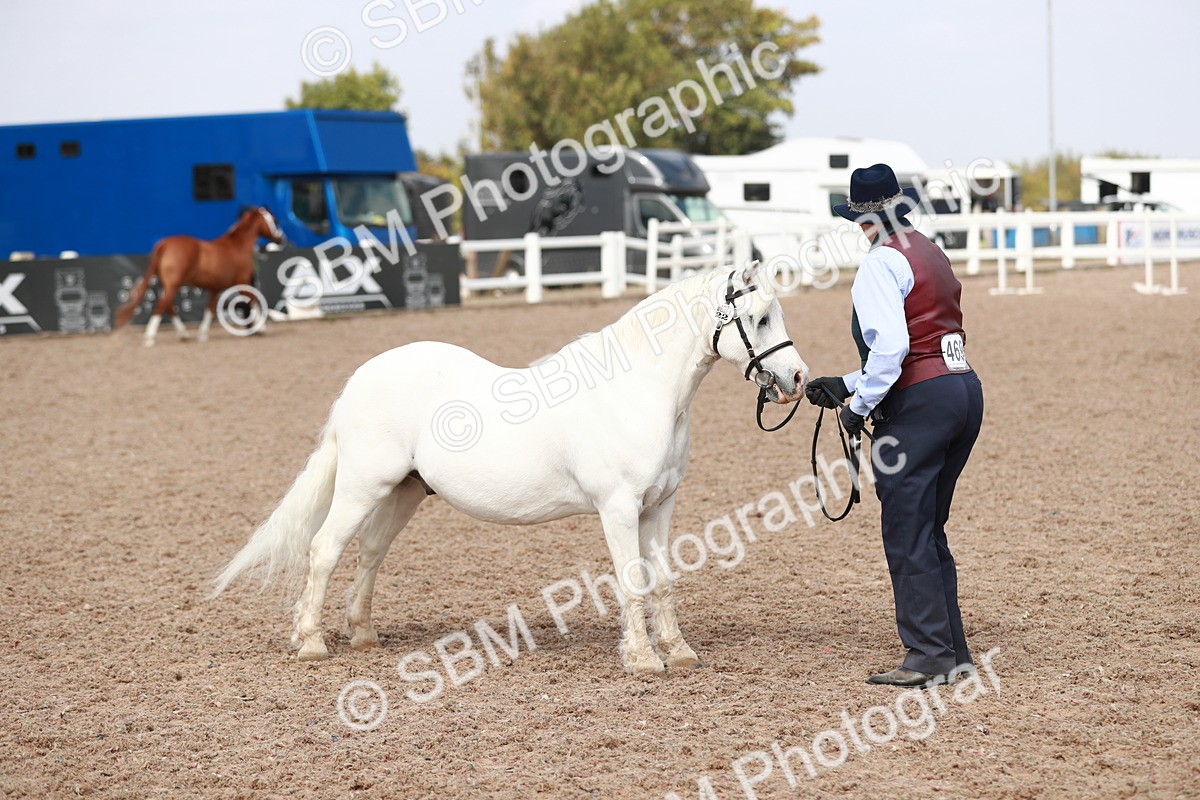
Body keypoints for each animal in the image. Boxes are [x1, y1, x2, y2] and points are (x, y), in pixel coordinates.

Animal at [115, 207, 284, 346]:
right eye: (274, 220)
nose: (282, 238)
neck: (237, 246)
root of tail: (165, 244)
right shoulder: (242, 282)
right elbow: (253, 300)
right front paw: (262, 328)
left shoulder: (216, 288)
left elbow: (209, 309)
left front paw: (202, 335)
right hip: (173, 284)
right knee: (161, 305)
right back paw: (150, 338)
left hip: (167, 284)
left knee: (168, 306)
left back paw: (183, 334)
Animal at [211, 263, 810, 674]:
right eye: (758, 318)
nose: (798, 380)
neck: (637, 391)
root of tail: (361, 379)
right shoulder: (618, 508)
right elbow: (631, 580)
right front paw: (642, 660)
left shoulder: (660, 505)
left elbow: (661, 580)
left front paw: (679, 653)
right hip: (363, 486)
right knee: (325, 550)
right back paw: (311, 641)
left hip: (404, 490)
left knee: (370, 552)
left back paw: (362, 635)